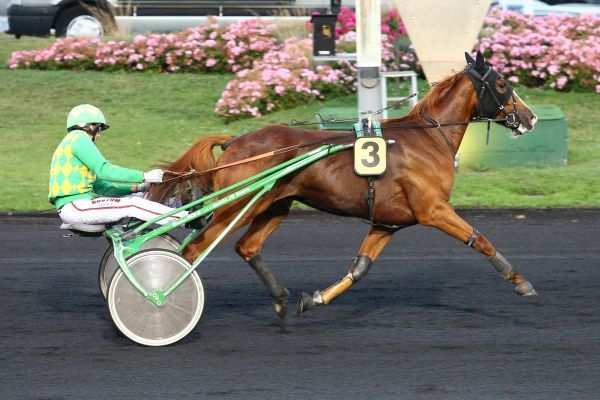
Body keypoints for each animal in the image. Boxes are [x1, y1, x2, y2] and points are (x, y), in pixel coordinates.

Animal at [149, 51, 539, 320]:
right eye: (502, 84)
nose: (530, 117)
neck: (427, 139)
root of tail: (235, 141)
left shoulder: (387, 222)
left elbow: (360, 268)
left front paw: (314, 299)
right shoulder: (434, 210)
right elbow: (480, 239)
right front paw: (520, 282)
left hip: (273, 204)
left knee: (247, 247)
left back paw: (280, 299)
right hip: (235, 205)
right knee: (192, 251)